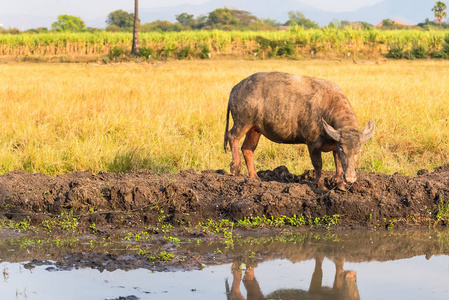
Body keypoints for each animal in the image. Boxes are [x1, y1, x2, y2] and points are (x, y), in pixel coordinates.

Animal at [222, 71, 372, 189]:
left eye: (358, 151)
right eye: (343, 150)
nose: (351, 178)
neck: (327, 107)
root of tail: (235, 89)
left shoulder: (335, 143)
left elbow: (338, 164)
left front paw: (340, 184)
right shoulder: (313, 144)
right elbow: (318, 165)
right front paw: (319, 185)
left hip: (254, 129)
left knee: (247, 149)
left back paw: (254, 177)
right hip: (243, 122)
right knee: (232, 137)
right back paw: (235, 167)